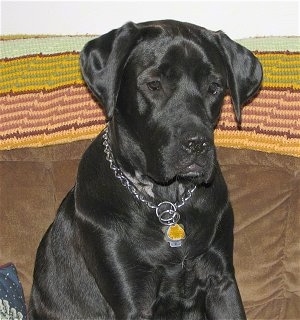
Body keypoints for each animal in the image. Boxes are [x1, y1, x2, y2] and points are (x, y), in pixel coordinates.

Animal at [29, 20, 262, 320]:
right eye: (154, 84)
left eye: (214, 87)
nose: (197, 144)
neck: (167, 202)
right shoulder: (132, 298)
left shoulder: (221, 280)